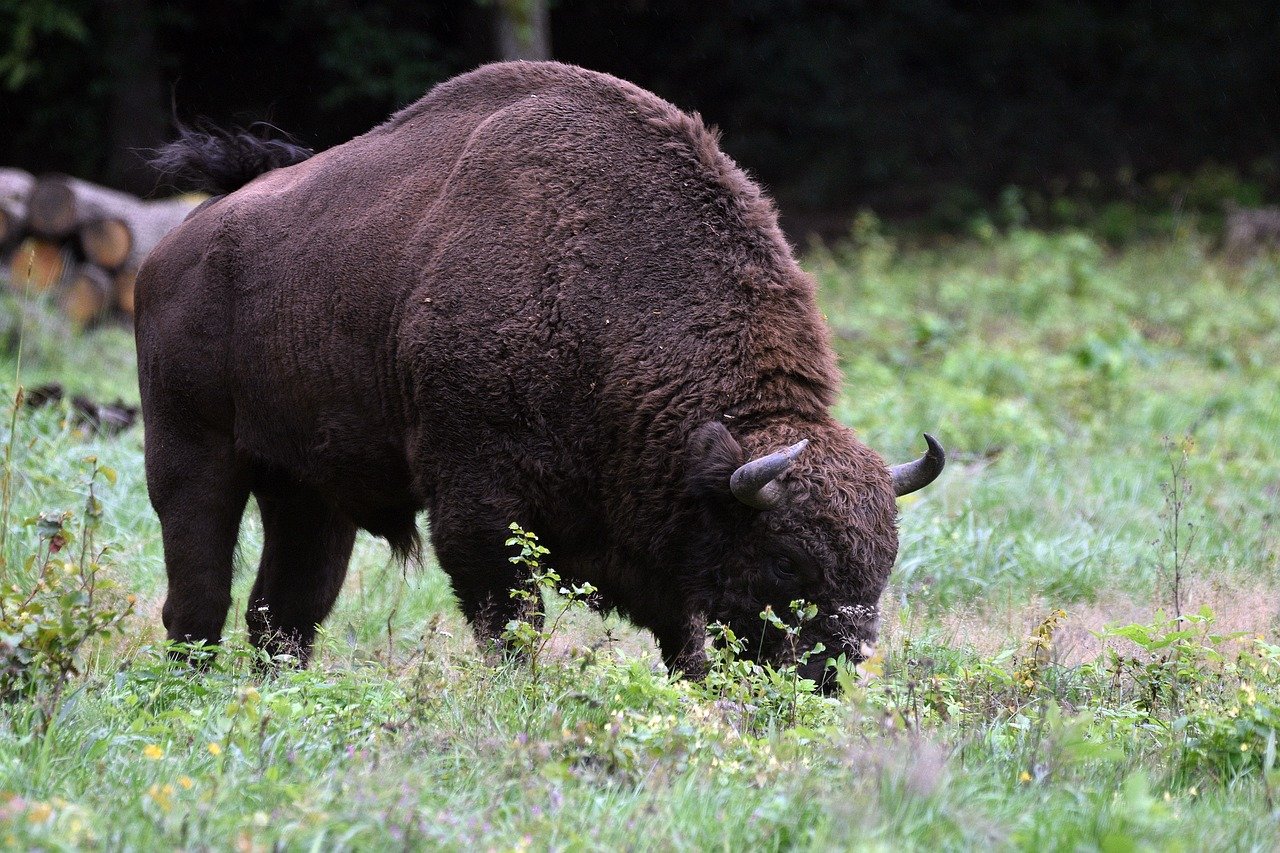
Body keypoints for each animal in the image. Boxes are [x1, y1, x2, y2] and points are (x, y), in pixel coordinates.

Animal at [140, 59, 947, 686]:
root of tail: (179, 246)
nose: (833, 673)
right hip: (192, 456)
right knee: (198, 599)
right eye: (785, 564)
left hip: (309, 491)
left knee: (283, 613)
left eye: (881, 565)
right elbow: (512, 620)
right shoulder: (479, 506)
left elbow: (681, 638)